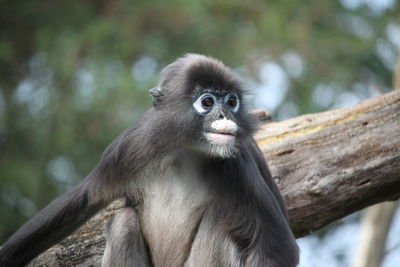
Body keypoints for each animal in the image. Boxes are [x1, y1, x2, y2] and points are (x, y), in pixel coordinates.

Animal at [0, 55, 298, 267]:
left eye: (232, 101)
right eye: (208, 102)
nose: (226, 115)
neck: (185, 149)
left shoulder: (236, 164)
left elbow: (279, 249)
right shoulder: (133, 144)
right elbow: (84, 198)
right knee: (123, 222)